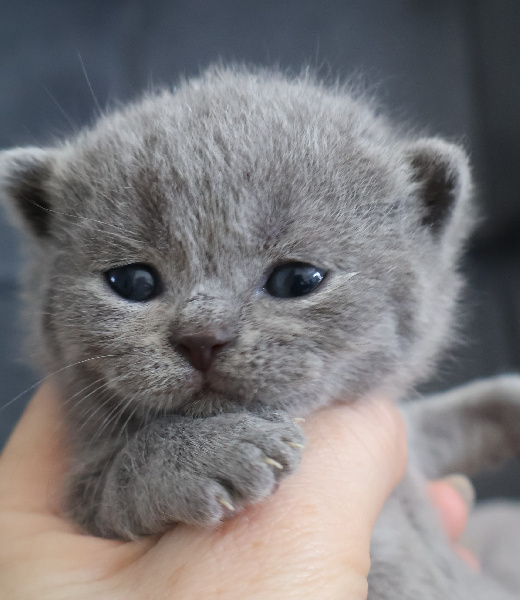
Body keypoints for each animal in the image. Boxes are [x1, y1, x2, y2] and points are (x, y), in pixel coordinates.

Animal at [1, 68, 520, 596]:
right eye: (133, 283)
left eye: (298, 279)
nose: (201, 337)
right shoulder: (83, 505)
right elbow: (120, 479)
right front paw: (213, 452)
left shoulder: (411, 441)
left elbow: (447, 419)